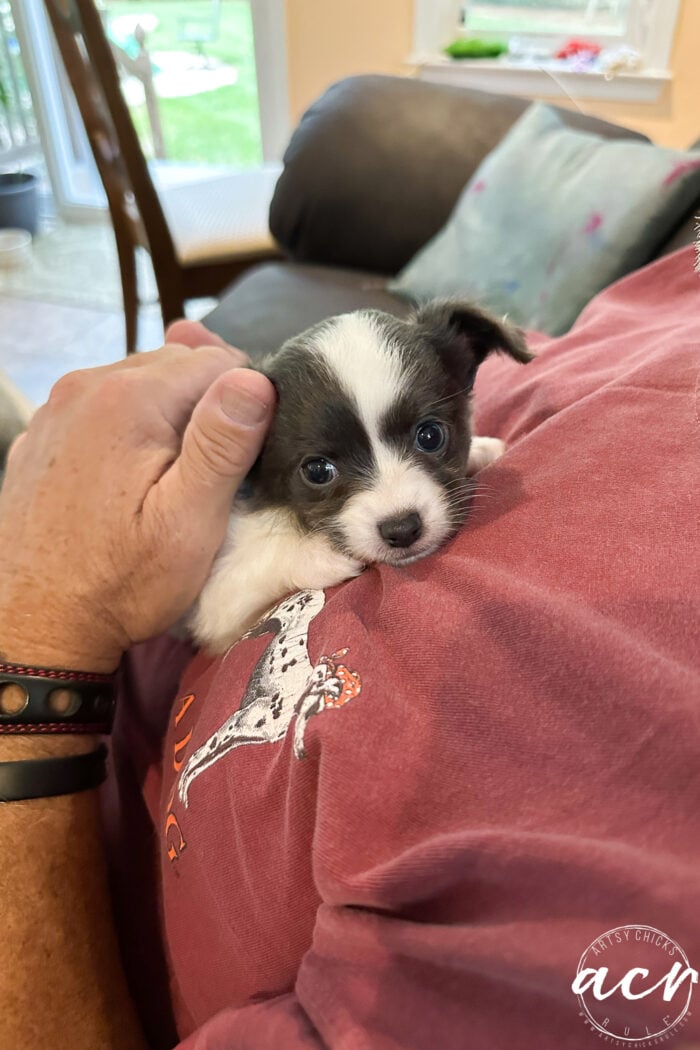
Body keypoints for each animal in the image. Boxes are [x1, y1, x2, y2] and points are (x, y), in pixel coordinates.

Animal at [189, 300, 531, 651]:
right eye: (317, 471)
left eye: (431, 435)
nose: (402, 529)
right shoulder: (217, 602)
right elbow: (265, 559)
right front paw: (320, 553)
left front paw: (482, 448)